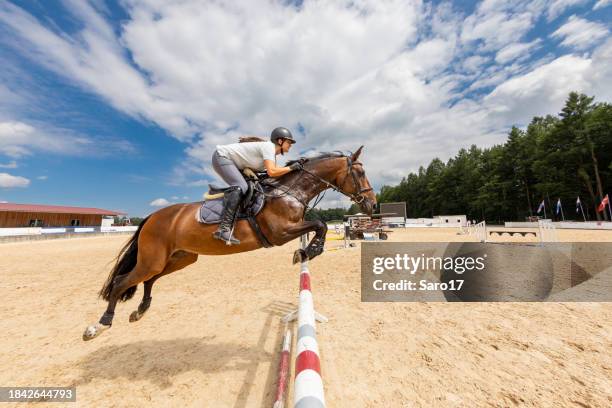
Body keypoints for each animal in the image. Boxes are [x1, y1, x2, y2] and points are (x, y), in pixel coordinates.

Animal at [83, 145, 376, 340]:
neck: (289, 192)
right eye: (360, 172)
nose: (372, 205)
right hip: (153, 259)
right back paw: (99, 325)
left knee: (149, 280)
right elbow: (320, 225)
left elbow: (319, 226)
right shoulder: (280, 233)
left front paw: (306, 252)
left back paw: (140, 310)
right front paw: (307, 252)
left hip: (179, 258)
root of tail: (152, 217)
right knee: (122, 282)